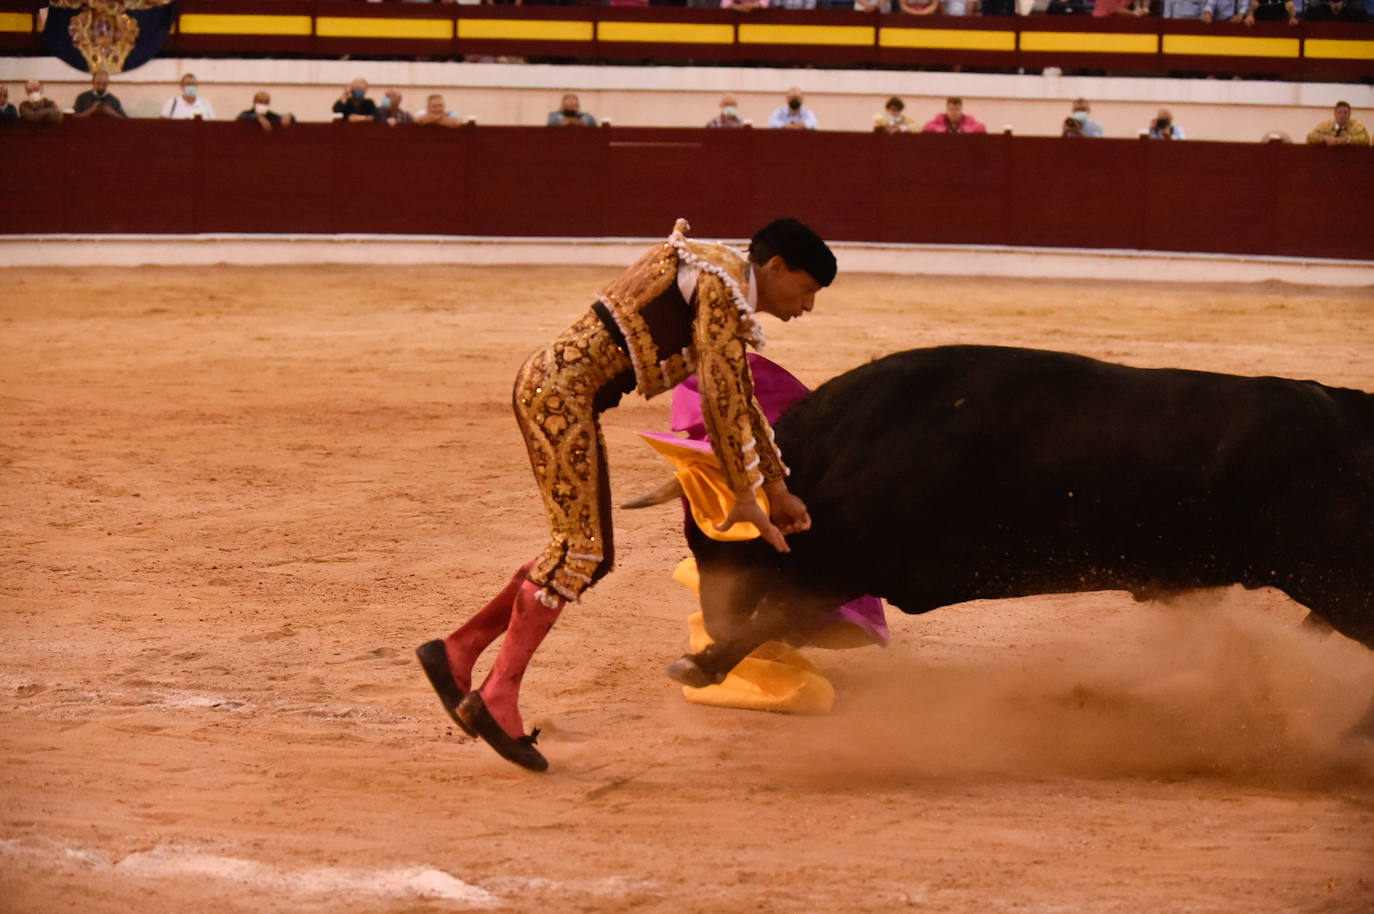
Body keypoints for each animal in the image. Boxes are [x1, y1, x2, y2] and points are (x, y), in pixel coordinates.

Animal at [648, 346, 1374, 731]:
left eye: (719, 542)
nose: (712, 616)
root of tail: (1345, 406)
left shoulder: (854, 560)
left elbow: (774, 614)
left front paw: (699, 662)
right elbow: (780, 615)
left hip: (1339, 578)